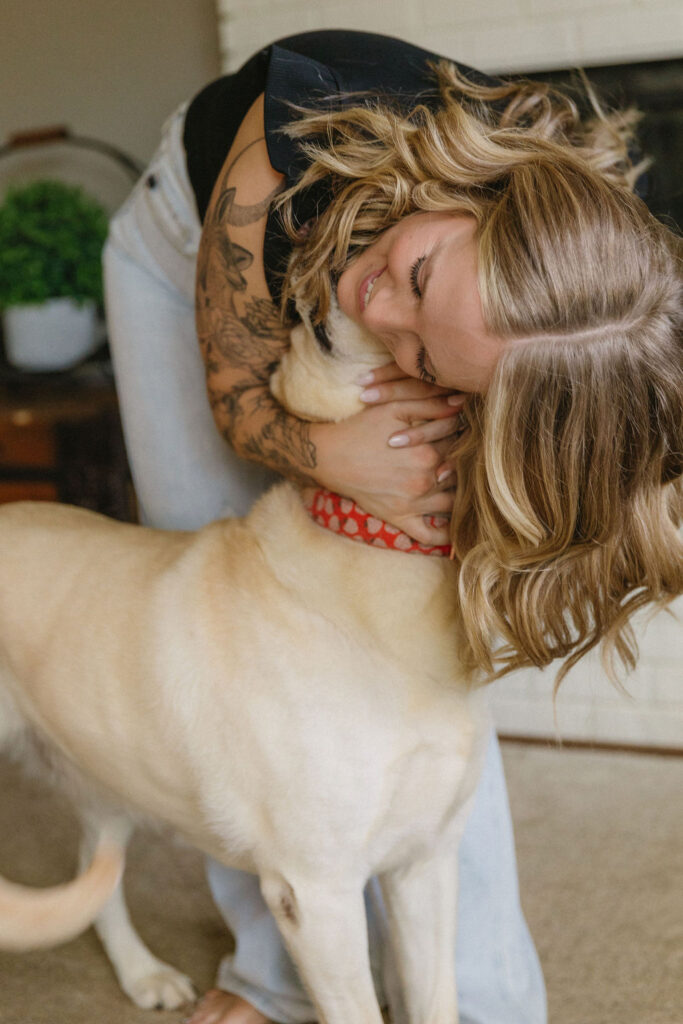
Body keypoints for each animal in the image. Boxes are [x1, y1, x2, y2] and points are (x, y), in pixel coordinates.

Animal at [0, 296, 491, 1024]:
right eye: (319, 331)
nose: (336, 286)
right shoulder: (316, 893)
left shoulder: (426, 860)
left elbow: (436, 999)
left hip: (104, 770)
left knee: (97, 867)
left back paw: (144, 974)